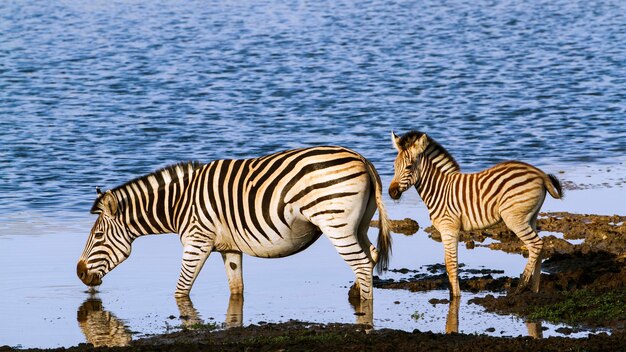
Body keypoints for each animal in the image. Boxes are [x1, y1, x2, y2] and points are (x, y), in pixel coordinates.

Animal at [77, 146, 390, 300]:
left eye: (98, 236)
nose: (79, 274)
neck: (179, 204)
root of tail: (362, 159)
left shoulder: (197, 242)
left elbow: (181, 288)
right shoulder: (229, 248)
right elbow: (236, 288)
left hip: (336, 225)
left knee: (362, 263)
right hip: (359, 225)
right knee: (371, 254)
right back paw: (354, 293)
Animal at [388, 131, 564, 298]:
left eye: (409, 167)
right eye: (394, 166)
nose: (391, 193)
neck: (439, 190)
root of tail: (540, 173)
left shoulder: (449, 228)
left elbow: (451, 265)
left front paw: (455, 296)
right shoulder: (449, 231)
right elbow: (448, 264)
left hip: (514, 218)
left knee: (535, 244)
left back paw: (520, 288)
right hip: (530, 216)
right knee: (540, 246)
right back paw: (535, 289)